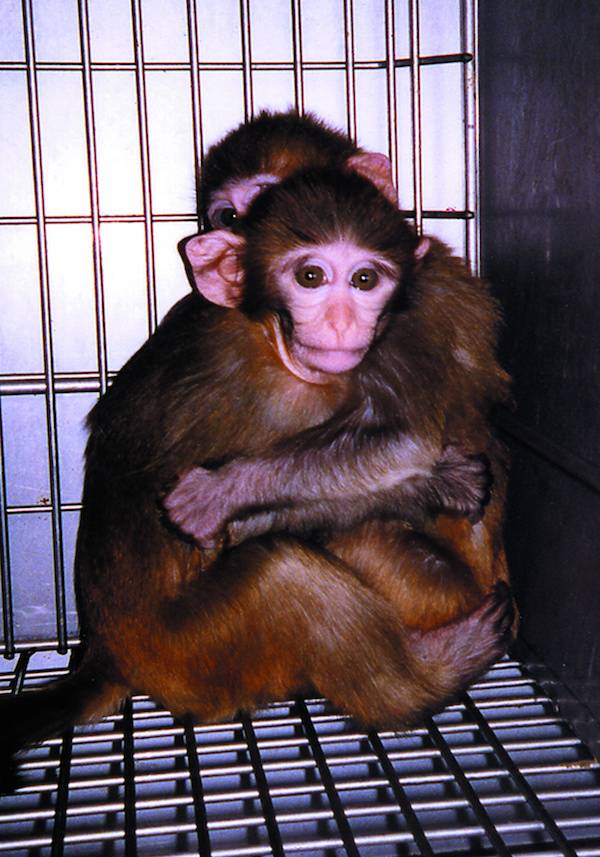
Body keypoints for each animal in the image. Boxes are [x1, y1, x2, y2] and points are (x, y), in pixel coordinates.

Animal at [0, 164, 514, 792]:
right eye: (311, 276)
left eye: (365, 279)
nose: (341, 322)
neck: (272, 338)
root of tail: (103, 651)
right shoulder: (270, 395)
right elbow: (395, 446)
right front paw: (435, 480)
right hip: (187, 654)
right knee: (279, 569)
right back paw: (424, 679)